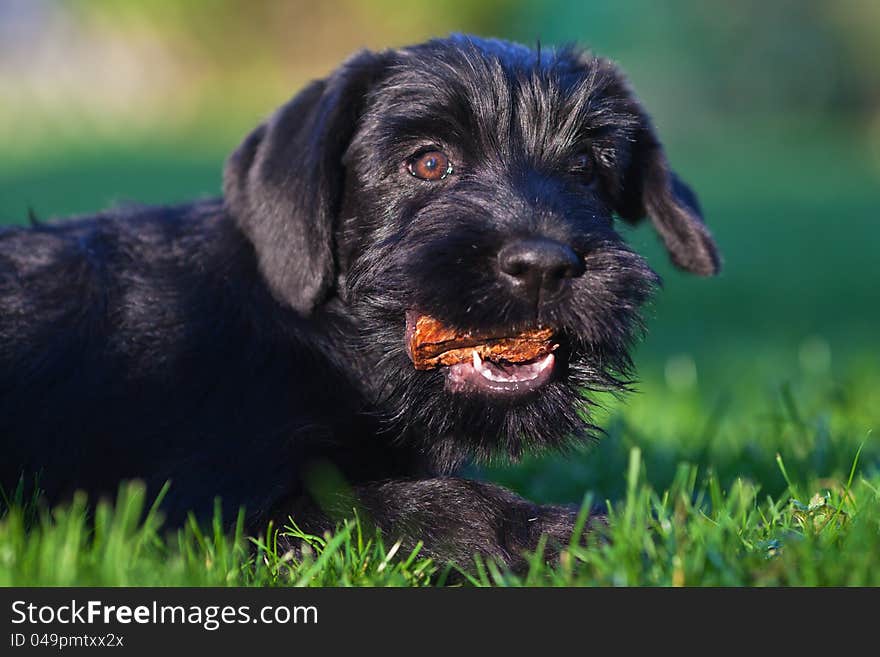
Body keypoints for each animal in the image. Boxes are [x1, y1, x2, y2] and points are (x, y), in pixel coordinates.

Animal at [0, 36, 716, 568]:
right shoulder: (211, 510)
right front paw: (587, 533)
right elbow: (433, 505)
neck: (314, 339)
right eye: (428, 163)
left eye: (587, 168)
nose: (544, 266)